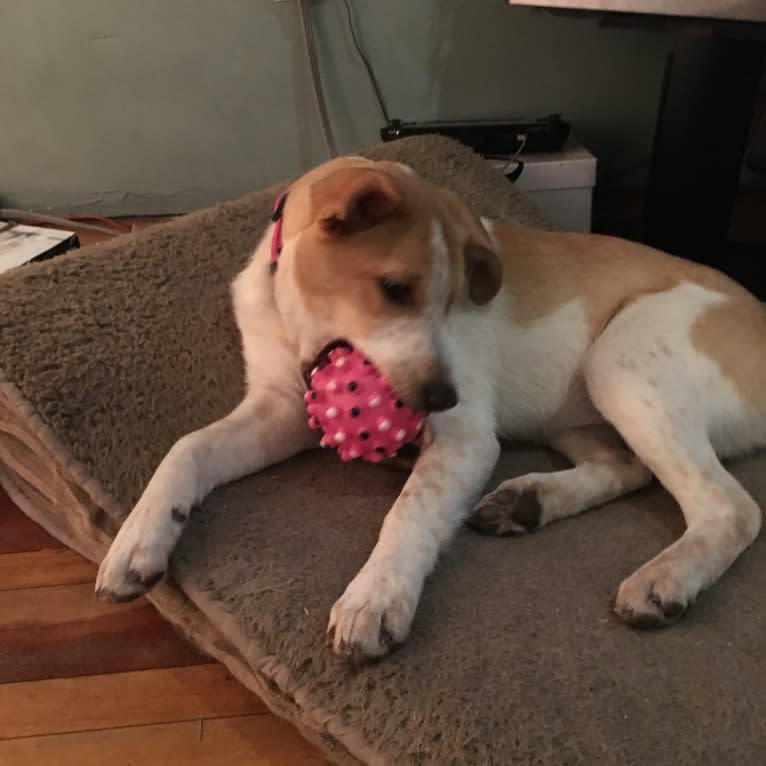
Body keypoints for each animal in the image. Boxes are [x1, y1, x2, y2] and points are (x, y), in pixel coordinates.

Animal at [96, 154, 766, 660]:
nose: (445, 397)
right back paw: (529, 502)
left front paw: (375, 597)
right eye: (394, 290)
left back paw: (663, 580)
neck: (302, 330)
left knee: (731, 508)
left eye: (454, 303)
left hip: (622, 357)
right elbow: (187, 447)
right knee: (627, 467)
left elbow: (410, 511)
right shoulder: (280, 408)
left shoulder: (465, 439)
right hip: (580, 408)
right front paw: (139, 536)